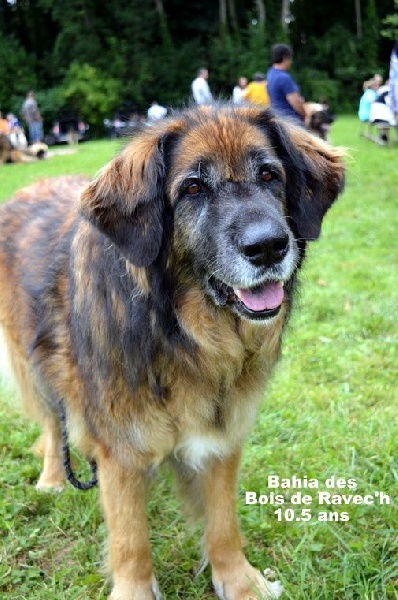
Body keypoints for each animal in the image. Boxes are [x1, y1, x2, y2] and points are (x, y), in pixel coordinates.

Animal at [0, 108, 346, 600]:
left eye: (269, 175)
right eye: (193, 188)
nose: (268, 246)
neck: (180, 334)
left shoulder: (221, 434)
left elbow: (223, 524)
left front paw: (239, 581)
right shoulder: (122, 449)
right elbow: (131, 541)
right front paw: (134, 590)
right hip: (34, 363)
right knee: (54, 425)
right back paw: (51, 479)